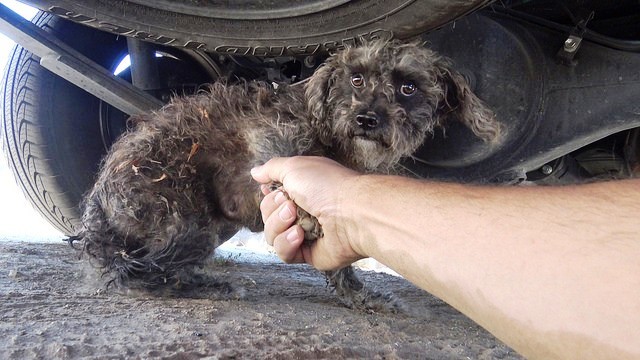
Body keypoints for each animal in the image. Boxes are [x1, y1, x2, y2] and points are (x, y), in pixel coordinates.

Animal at [79, 38, 500, 310]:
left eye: (408, 88)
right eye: (357, 79)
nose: (366, 118)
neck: (330, 132)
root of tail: (97, 203)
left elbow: (339, 264)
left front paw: (360, 298)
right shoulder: (269, 138)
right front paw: (308, 222)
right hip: (186, 220)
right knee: (134, 276)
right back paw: (213, 286)